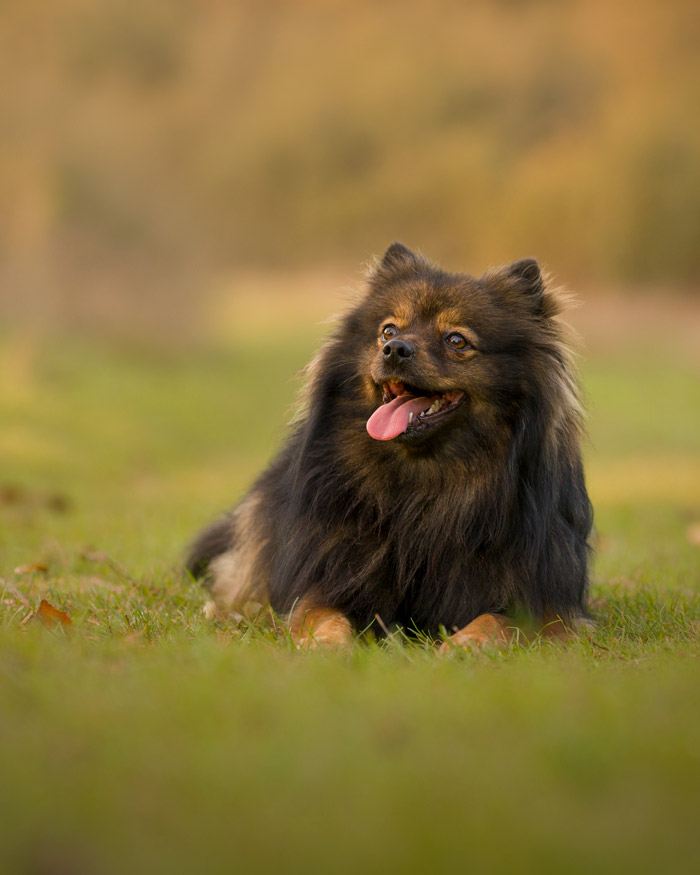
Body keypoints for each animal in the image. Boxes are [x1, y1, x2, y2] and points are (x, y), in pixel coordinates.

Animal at [185, 241, 592, 652]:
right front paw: (327, 646)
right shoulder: (326, 577)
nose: (395, 349)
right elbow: (321, 615)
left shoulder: (547, 608)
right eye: (388, 330)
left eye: (457, 340)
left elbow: (496, 622)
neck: (420, 483)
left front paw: (459, 647)